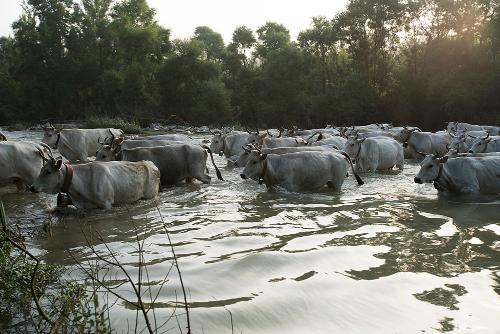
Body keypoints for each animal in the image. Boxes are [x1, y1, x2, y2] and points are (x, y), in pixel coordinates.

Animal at [30, 159, 159, 209]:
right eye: (41, 170)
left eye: (48, 172)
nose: (32, 187)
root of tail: (147, 162)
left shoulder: (106, 204)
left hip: (150, 195)